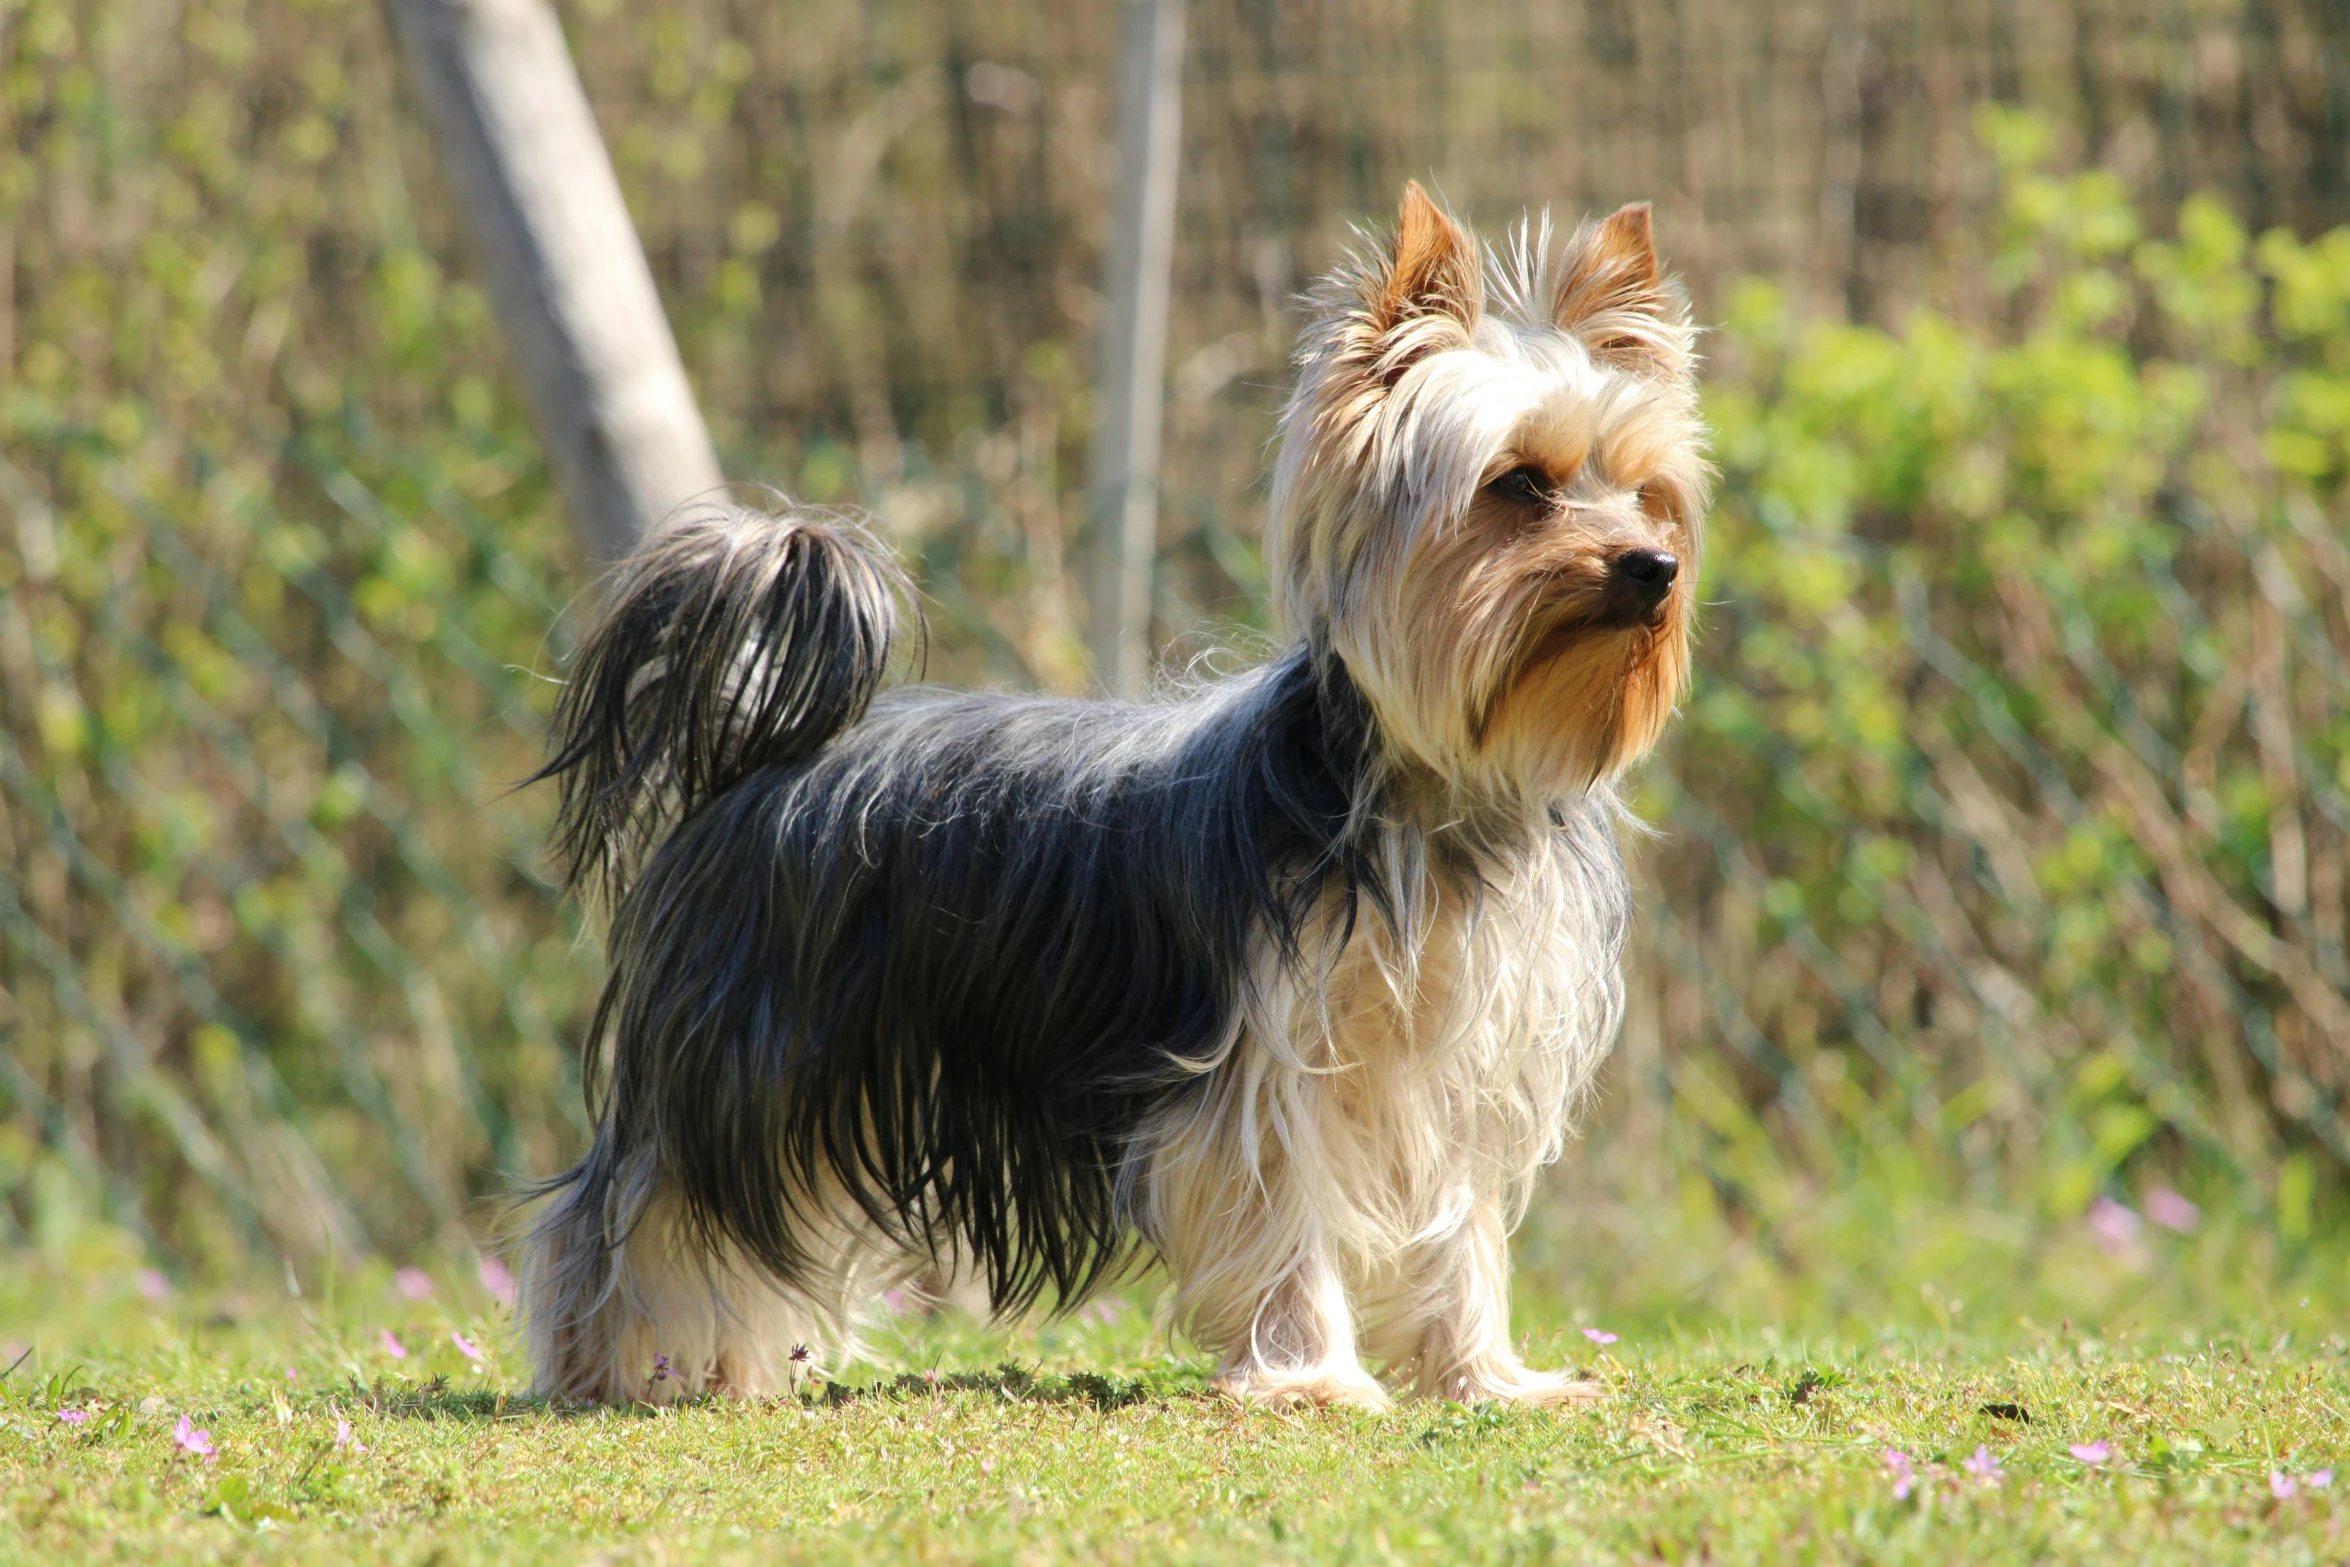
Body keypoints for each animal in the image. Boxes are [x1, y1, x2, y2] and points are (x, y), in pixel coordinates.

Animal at [519, 180, 1710, 1409]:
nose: (1654, 567)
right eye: (1518, 485)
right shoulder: (1266, 1061)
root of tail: (757, 754)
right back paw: (600, 1364)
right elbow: (1283, 1203)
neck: (1439, 788)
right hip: (752, 1057)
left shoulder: (1459, 1068)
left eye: (1645, 492)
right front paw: (1310, 1377)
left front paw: (1486, 1376)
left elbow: (1457, 1225)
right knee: (634, 1205)